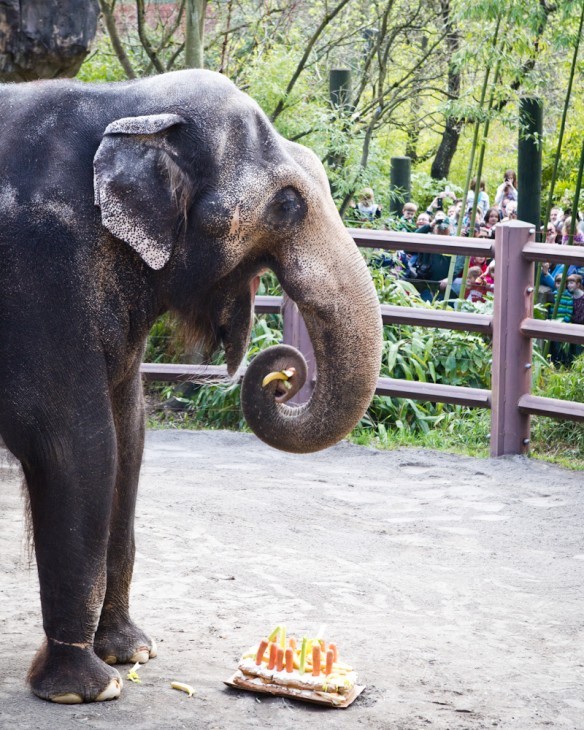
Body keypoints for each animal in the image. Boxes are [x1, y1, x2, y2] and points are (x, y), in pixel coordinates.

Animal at [0, 68, 384, 700]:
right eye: (287, 204)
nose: (280, 376)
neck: (127, 102)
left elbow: (129, 440)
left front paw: (132, 652)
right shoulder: (39, 274)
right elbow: (75, 444)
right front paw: (87, 688)